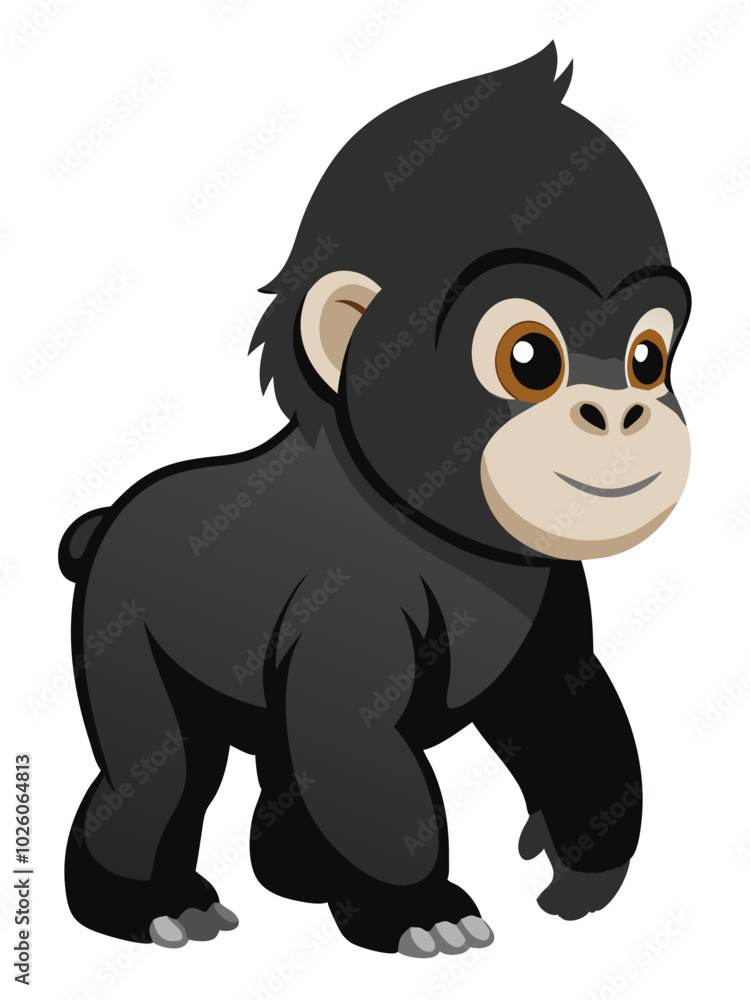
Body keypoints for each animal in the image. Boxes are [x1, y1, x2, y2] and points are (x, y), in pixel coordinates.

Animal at [59, 42, 691, 957]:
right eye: (530, 358)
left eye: (648, 359)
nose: (621, 410)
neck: (430, 530)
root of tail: (107, 522)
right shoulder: (353, 602)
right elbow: (356, 748)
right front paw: (418, 911)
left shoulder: (552, 592)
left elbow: (566, 712)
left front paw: (586, 872)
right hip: (122, 626)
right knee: (163, 769)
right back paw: (147, 903)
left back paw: (296, 876)